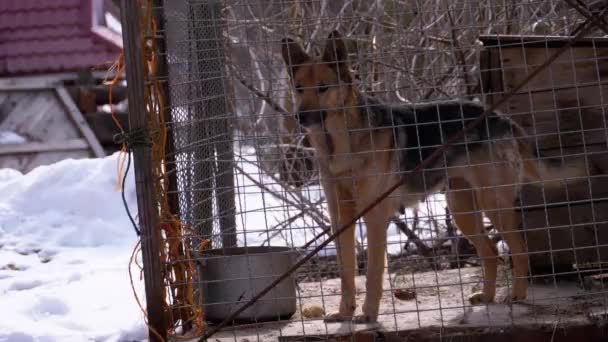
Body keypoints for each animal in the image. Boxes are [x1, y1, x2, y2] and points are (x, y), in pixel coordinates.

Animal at [280, 30, 588, 322]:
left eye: (323, 88)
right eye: (299, 88)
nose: (300, 117)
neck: (341, 142)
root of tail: (500, 118)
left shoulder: (375, 218)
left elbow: (373, 276)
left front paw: (368, 315)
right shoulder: (341, 220)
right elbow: (347, 273)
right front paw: (345, 313)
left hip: (494, 205)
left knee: (519, 250)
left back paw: (517, 295)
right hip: (463, 210)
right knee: (491, 252)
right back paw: (488, 296)